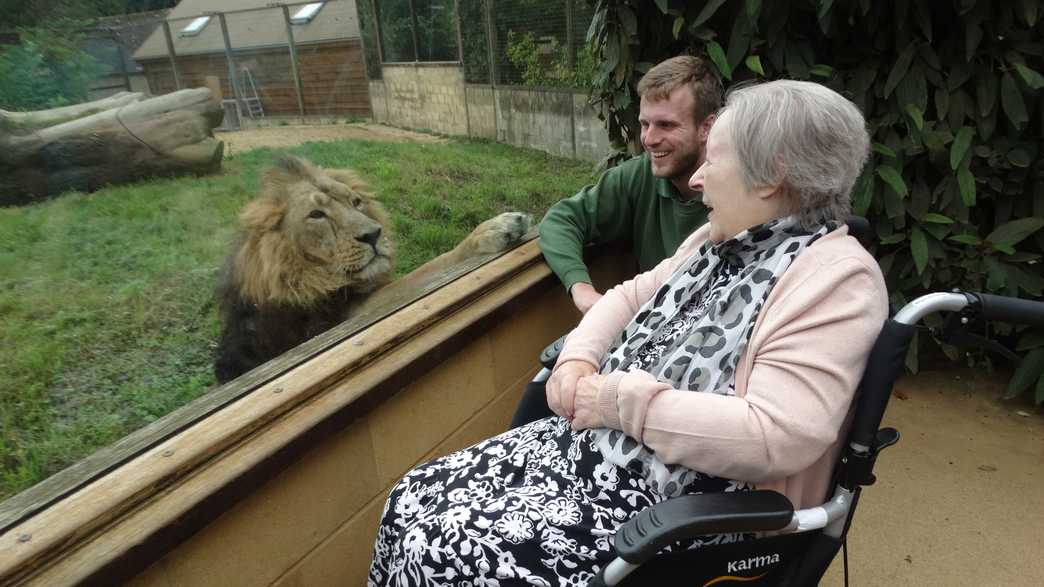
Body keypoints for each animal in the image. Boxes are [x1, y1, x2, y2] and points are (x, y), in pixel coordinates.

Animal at [217, 155, 534, 382]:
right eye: (316, 215)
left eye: (355, 202)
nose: (373, 234)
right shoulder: (345, 316)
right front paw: (496, 228)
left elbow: (436, 264)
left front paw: (500, 225)